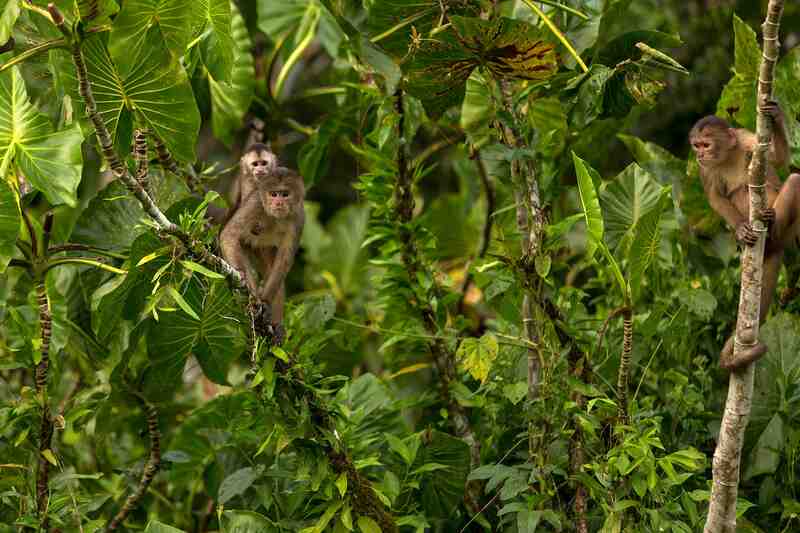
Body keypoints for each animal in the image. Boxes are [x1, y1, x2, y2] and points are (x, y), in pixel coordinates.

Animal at [219, 167, 305, 332]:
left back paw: (275, 324)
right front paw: (241, 274)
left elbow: (284, 260)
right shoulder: (256, 204)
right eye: (273, 194)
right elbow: (229, 235)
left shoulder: (298, 217)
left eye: (285, 194)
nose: (279, 202)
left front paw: (265, 302)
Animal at [690, 100, 800, 370]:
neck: (726, 156)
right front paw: (740, 229)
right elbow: (716, 198)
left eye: (706, 145)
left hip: (788, 233)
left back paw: (772, 224)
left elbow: (777, 160)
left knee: (791, 180)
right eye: (696, 146)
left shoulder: (747, 140)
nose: (700, 155)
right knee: (740, 190)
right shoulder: (704, 170)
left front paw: (776, 115)